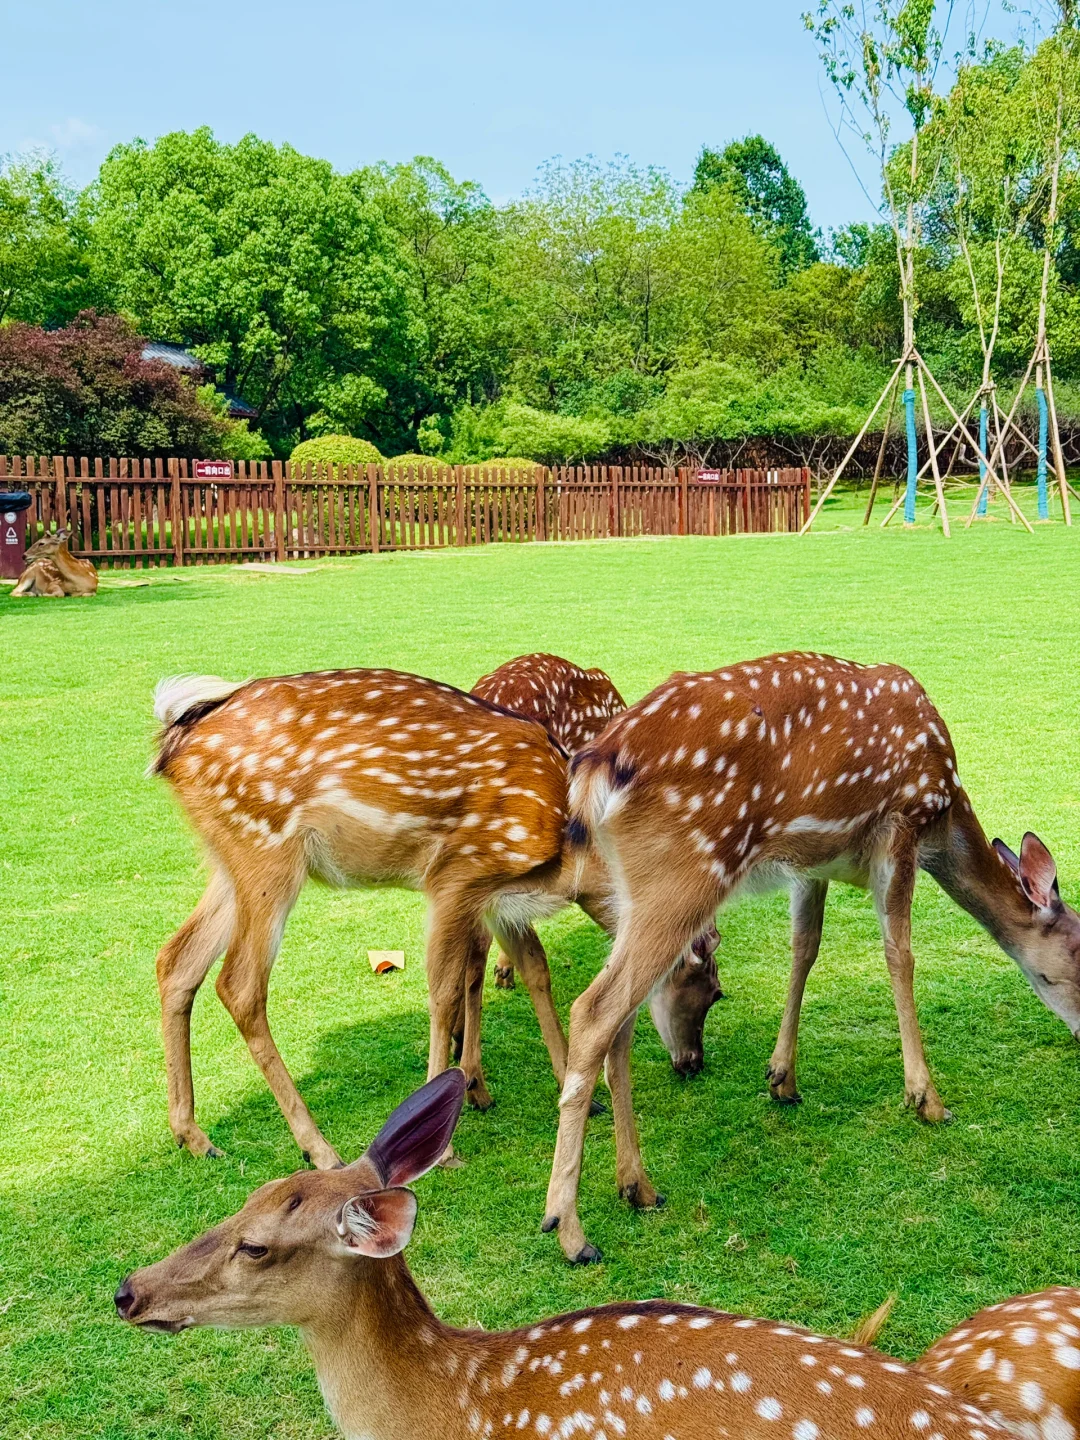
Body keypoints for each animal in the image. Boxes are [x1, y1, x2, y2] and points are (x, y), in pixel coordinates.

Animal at [151, 667, 720, 1171]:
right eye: (713, 990)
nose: (694, 1063)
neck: (569, 853)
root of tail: (172, 746)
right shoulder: (458, 874)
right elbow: (443, 991)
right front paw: (445, 1142)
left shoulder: (498, 895)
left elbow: (534, 968)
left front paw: (570, 1087)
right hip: (268, 851)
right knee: (240, 985)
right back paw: (319, 1149)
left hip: (230, 860)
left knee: (177, 959)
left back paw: (193, 1136)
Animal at [540, 652, 1080, 1262]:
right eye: (1079, 957)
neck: (945, 816)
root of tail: (592, 769)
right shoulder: (902, 824)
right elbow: (900, 954)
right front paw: (927, 1099)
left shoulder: (813, 861)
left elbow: (805, 948)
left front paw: (782, 1077)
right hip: (687, 869)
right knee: (594, 1011)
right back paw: (570, 1230)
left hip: (633, 891)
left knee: (622, 1019)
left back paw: (638, 1187)